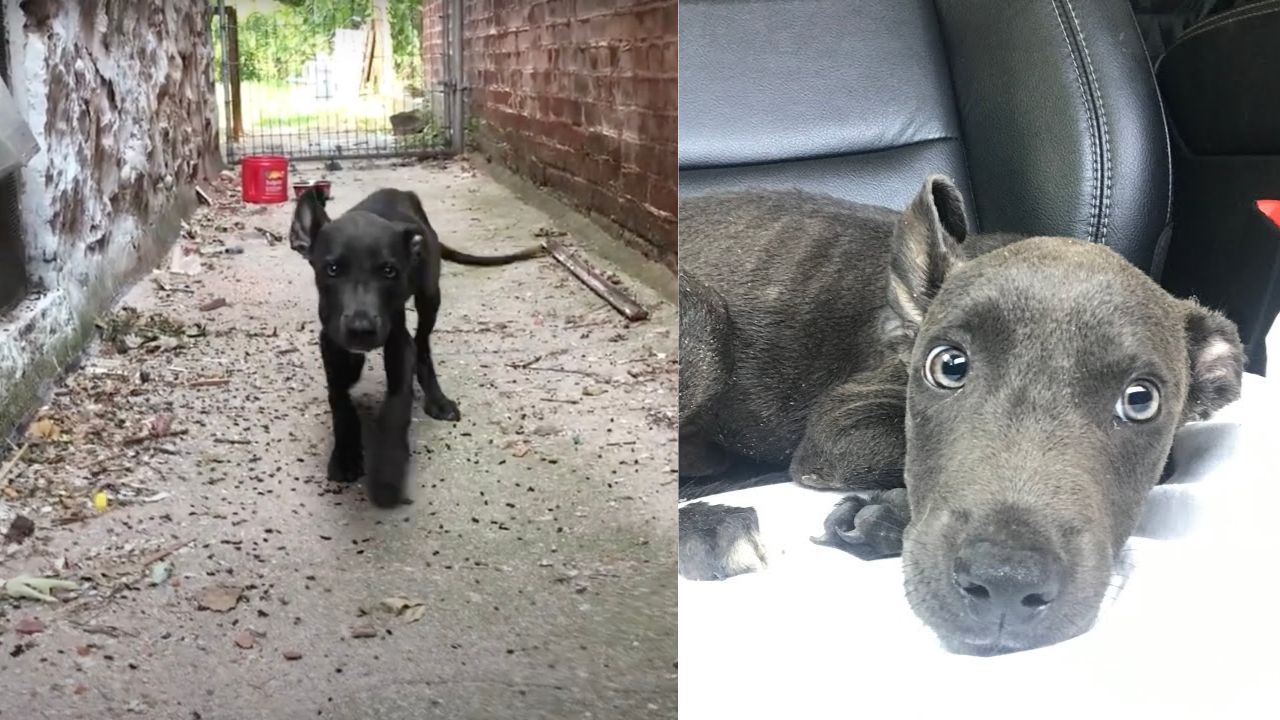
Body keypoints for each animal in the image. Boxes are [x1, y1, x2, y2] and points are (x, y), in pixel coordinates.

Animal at [290, 188, 545, 507]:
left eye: (389, 271)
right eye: (332, 269)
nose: (361, 329)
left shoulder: (399, 342)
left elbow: (396, 405)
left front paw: (387, 472)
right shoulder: (331, 340)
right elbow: (339, 398)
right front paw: (346, 455)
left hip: (430, 296)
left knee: (423, 346)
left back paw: (438, 399)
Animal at [686, 176, 1244, 653]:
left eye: (1140, 400)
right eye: (948, 366)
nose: (1006, 580)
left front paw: (885, 516)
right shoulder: (840, 429)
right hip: (703, 322)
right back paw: (710, 529)